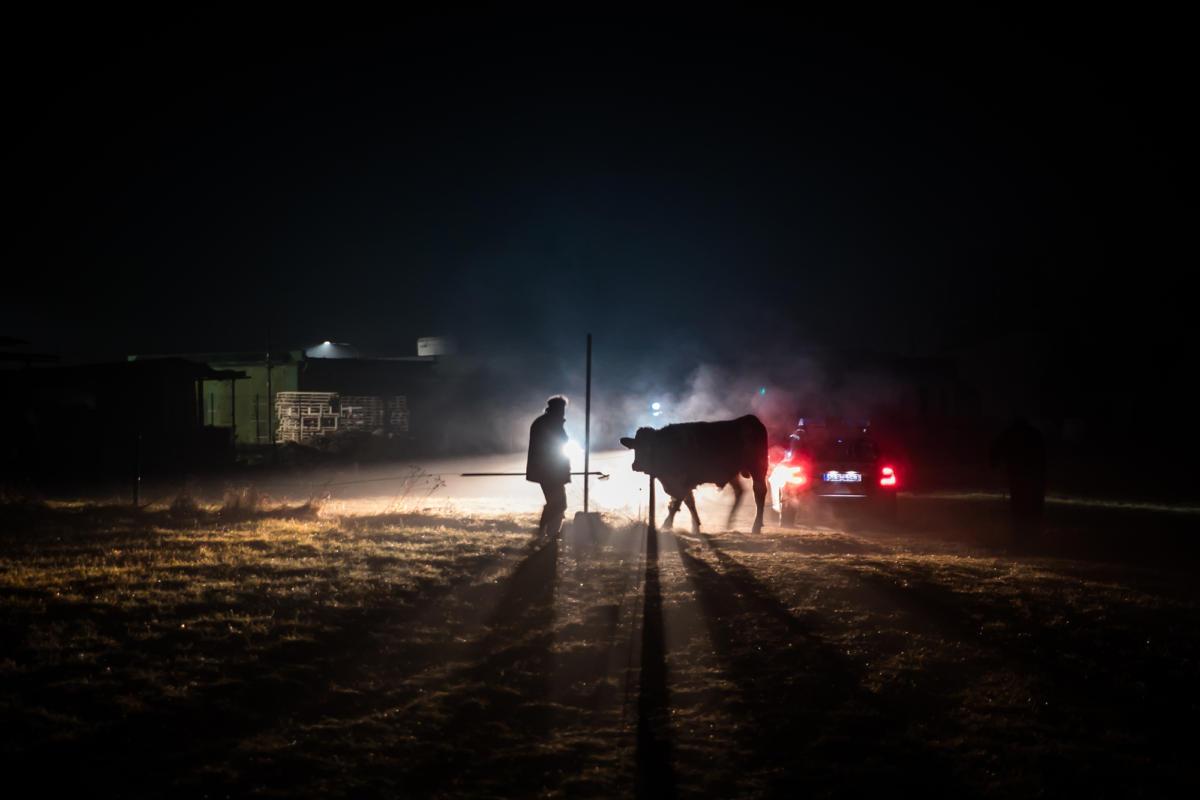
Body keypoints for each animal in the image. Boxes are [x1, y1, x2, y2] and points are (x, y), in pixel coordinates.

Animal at [619, 417, 768, 534]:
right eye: (635, 447)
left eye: (650, 447)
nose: (636, 465)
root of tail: (750, 419)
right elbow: (689, 502)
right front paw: (695, 527)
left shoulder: (683, 482)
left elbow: (676, 504)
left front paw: (665, 526)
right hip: (733, 474)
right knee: (739, 491)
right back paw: (728, 523)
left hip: (758, 467)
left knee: (759, 492)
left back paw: (755, 527)